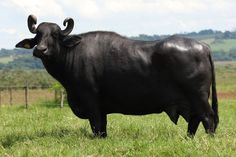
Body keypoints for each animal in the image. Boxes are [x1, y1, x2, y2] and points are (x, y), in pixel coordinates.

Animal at [15, 15, 218, 137]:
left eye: (55, 35)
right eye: (38, 35)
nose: (40, 50)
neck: (72, 54)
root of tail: (203, 46)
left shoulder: (91, 103)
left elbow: (97, 127)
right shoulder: (102, 109)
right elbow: (103, 129)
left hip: (198, 97)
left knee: (208, 118)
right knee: (195, 120)